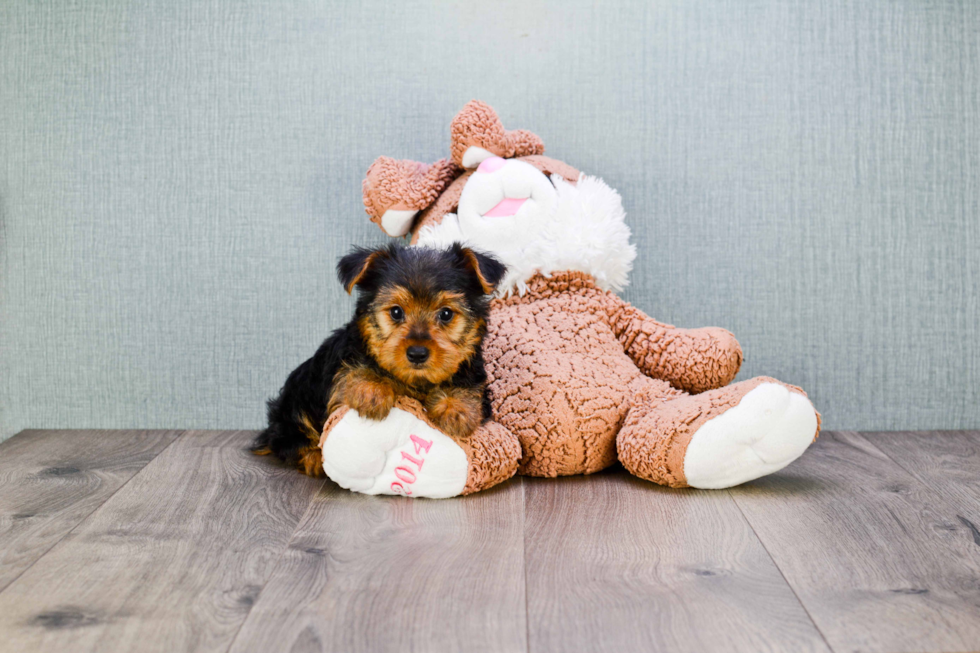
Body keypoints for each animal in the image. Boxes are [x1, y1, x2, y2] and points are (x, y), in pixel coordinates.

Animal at [253, 242, 506, 476]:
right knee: (287, 438)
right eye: (396, 312)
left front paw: (456, 409)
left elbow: (469, 387)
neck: (415, 382)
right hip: (295, 403)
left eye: (446, 314)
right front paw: (372, 390)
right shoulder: (345, 365)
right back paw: (314, 457)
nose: (417, 353)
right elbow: (355, 371)